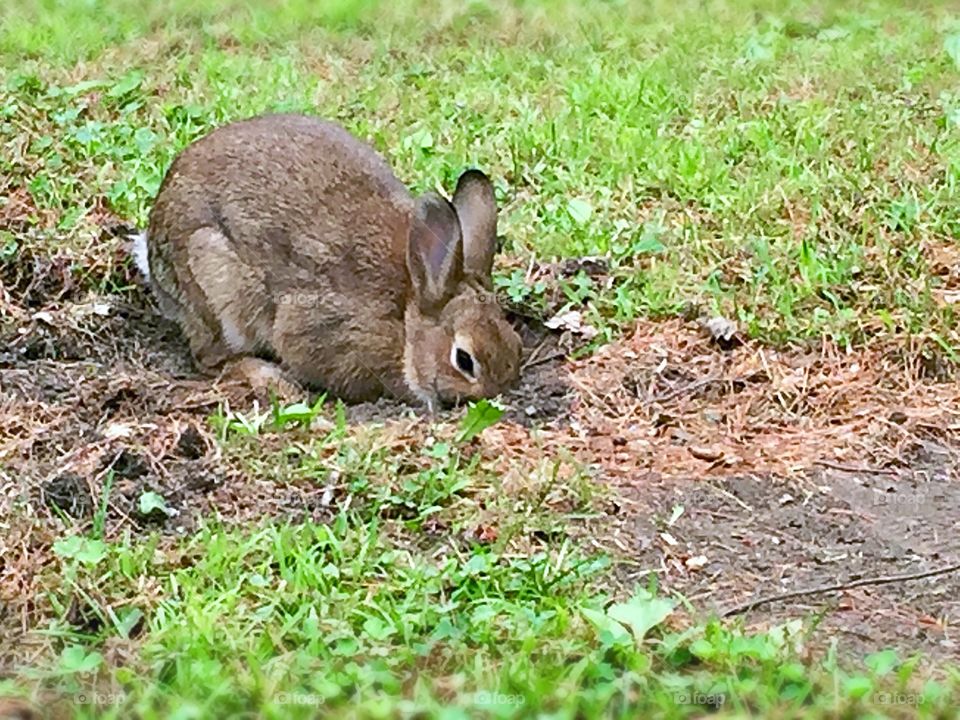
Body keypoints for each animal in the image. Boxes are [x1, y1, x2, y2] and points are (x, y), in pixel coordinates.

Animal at [132, 113, 522, 410]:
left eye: (516, 343)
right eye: (464, 360)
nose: (493, 395)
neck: (406, 317)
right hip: (214, 282)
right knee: (210, 358)